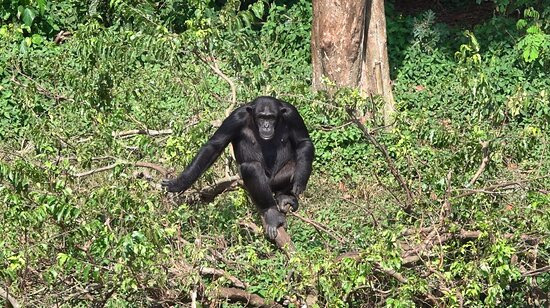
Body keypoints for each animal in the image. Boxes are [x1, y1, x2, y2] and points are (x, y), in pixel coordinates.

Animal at [162, 95, 314, 239]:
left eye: (271, 117)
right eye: (261, 117)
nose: (266, 125)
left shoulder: (292, 114)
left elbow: (303, 142)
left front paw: (300, 179)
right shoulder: (235, 118)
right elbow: (214, 146)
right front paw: (178, 184)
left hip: (275, 182)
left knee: (293, 164)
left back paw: (283, 196)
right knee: (251, 168)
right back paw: (271, 213)